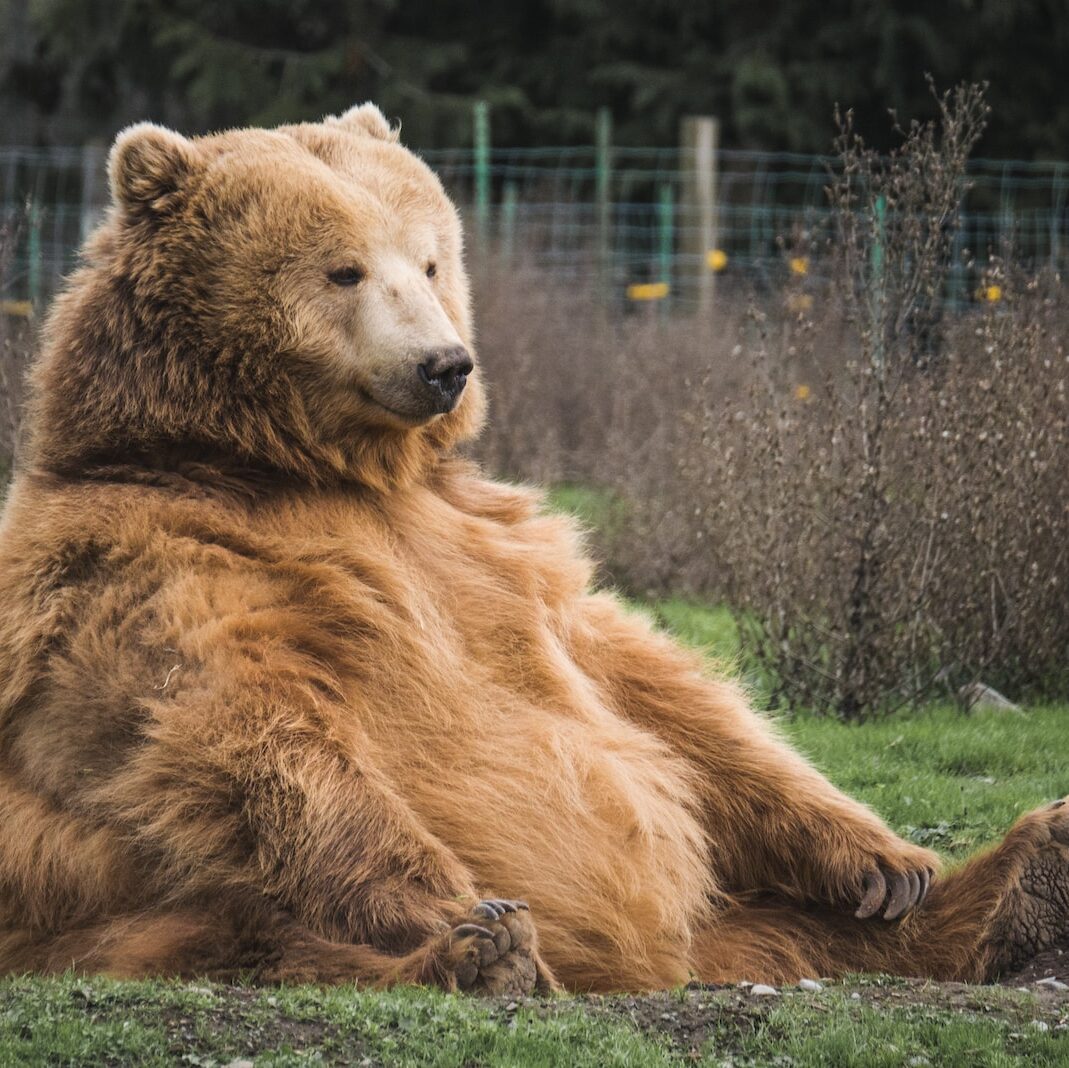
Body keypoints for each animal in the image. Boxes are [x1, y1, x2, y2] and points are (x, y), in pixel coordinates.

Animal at [0, 104, 1064, 996]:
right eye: (342, 269)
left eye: (429, 260)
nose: (444, 364)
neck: (294, 467)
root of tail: (652, 965)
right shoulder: (156, 562)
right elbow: (245, 731)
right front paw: (461, 910)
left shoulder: (494, 548)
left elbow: (656, 689)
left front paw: (885, 861)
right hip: (85, 884)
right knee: (236, 927)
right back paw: (480, 956)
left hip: (731, 918)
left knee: (794, 927)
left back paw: (1022, 881)